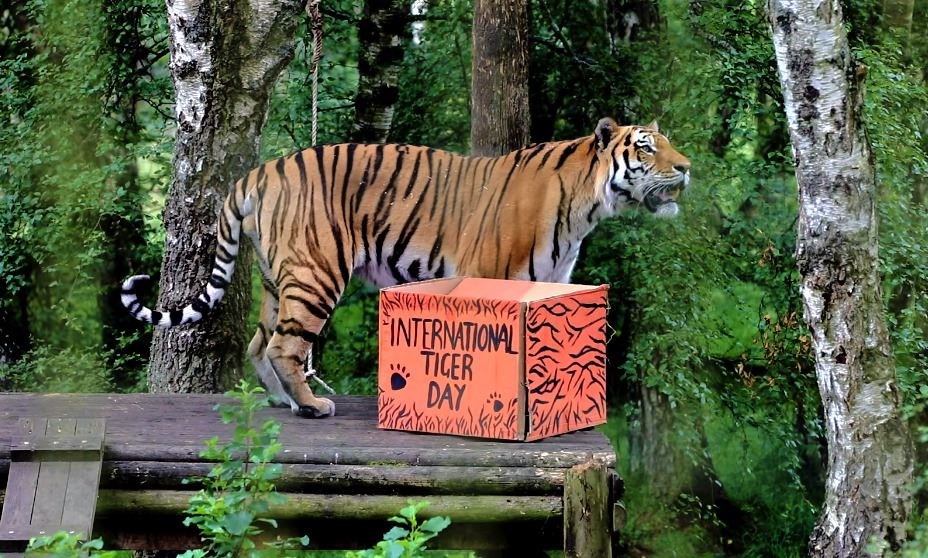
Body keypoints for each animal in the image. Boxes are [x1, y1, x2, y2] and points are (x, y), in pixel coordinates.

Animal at [121, 118, 688, 420]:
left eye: (668, 143)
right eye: (645, 147)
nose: (686, 167)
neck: (586, 207)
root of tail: (258, 172)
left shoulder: (551, 285)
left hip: (275, 279)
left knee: (259, 344)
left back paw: (286, 402)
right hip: (315, 274)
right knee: (284, 346)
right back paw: (311, 406)